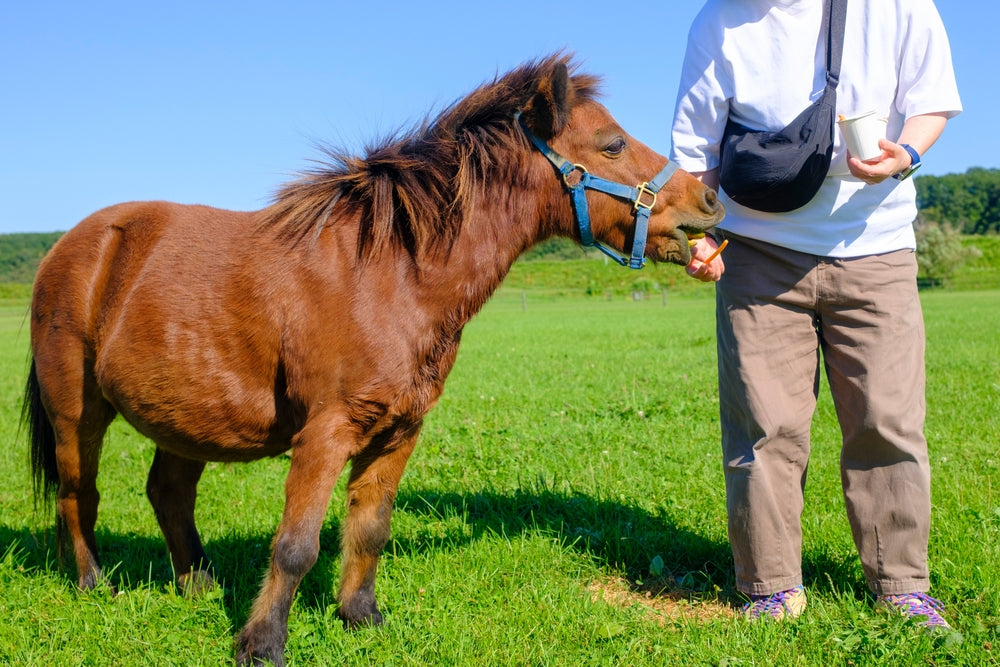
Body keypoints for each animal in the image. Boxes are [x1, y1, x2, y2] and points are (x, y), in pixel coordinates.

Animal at [23, 53, 724, 666]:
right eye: (612, 145)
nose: (709, 202)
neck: (392, 273)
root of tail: (76, 244)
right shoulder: (326, 433)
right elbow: (296, 546)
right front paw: (261, 645)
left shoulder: (398, 430)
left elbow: (369, 529)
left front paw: (361, 617)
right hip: (76, 415)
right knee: (78, 494)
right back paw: (93, 586)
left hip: (187, 420)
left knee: (168, 493)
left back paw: (198, 585)